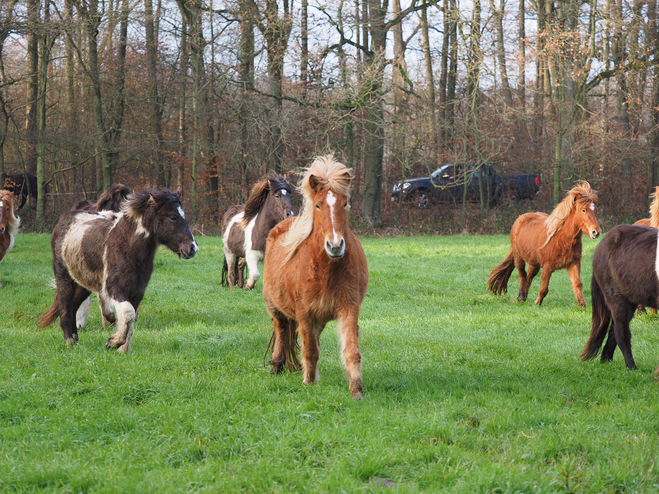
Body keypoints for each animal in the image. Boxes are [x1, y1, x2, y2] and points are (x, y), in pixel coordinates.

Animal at [38, 186, 199, 352]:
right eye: (173, 217)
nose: (193, 248)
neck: (127, 246)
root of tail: (65, 220)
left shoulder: (137, 291)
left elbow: (131, 320)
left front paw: (123, 350)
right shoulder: (114, 288)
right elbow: (128, 313)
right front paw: (113, 342)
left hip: (83, 283)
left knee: (74, 306)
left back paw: (76, 338)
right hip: (64, 277)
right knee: (65, 308)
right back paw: (69, 341)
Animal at [262, 156, 368, 400]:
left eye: (345, 204)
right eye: (318, 205)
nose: (335, 245)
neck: (327, 269)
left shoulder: (348, 309)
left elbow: (351, 351)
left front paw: (356, 390)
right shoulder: (304, 314)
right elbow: (309, 350)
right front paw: (309, 383)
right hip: (275, 307)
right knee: (282, 330)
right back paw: (277, 365)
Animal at [584, 222, 659, 372]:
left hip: (629, 300)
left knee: (613, 331)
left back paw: (605, 361)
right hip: (617, 299)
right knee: (621, 334)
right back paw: (632, 368)